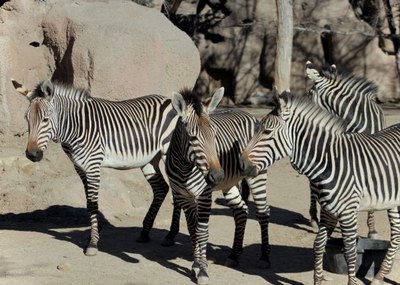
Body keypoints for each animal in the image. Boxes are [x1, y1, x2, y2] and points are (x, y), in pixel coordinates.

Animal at [11, 79, 179, 255]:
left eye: (45, 119)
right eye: (26, 118)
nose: (32, 155)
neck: (75, 127)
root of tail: (168, 100)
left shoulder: (93, 166)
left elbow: (93, 205)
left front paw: (93, 243)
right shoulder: (79, 167)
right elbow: (88, 204)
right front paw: (91, 236)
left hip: (169, 153)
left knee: (177, 192)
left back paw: (170, 236)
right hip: (150, 160)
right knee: (161, 188)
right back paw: (145, 232)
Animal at [167, 86, 270, 284]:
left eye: (214, 134)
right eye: (192, 137)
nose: (217, 176)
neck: (185, 167)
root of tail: (247, 113)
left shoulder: (204, 195)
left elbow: (202, 232)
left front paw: (203, 270)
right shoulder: (183, 196)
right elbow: (192, 230)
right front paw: (196, 265)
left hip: (257, 176)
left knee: (263, 212)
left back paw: (264, 257)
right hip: (229, 185)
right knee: (241, 210)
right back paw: (234, 256)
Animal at [241, 91, 400, 284]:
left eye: (267, 132)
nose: (241, 164)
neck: (330, 161)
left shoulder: (348, 212)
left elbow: (350, 252)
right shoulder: (328, 211)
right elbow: (318, 244)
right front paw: (318, 279)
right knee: (396, 235)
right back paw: (378, 276)